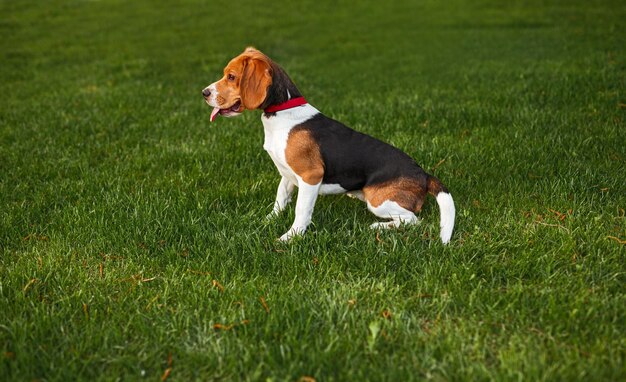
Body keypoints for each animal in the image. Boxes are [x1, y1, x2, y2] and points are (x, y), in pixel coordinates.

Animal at [204, 47, 454, 243]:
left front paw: (290, 237)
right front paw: (268, 220)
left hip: (378, 201)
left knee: (413, 220)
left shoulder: (310, 176)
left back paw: (378, 227)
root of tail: (423, 174)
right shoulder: (286, 174)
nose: (204, 92)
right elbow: (280, 199)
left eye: (231, 77)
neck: (282, 111)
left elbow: (301, 210)